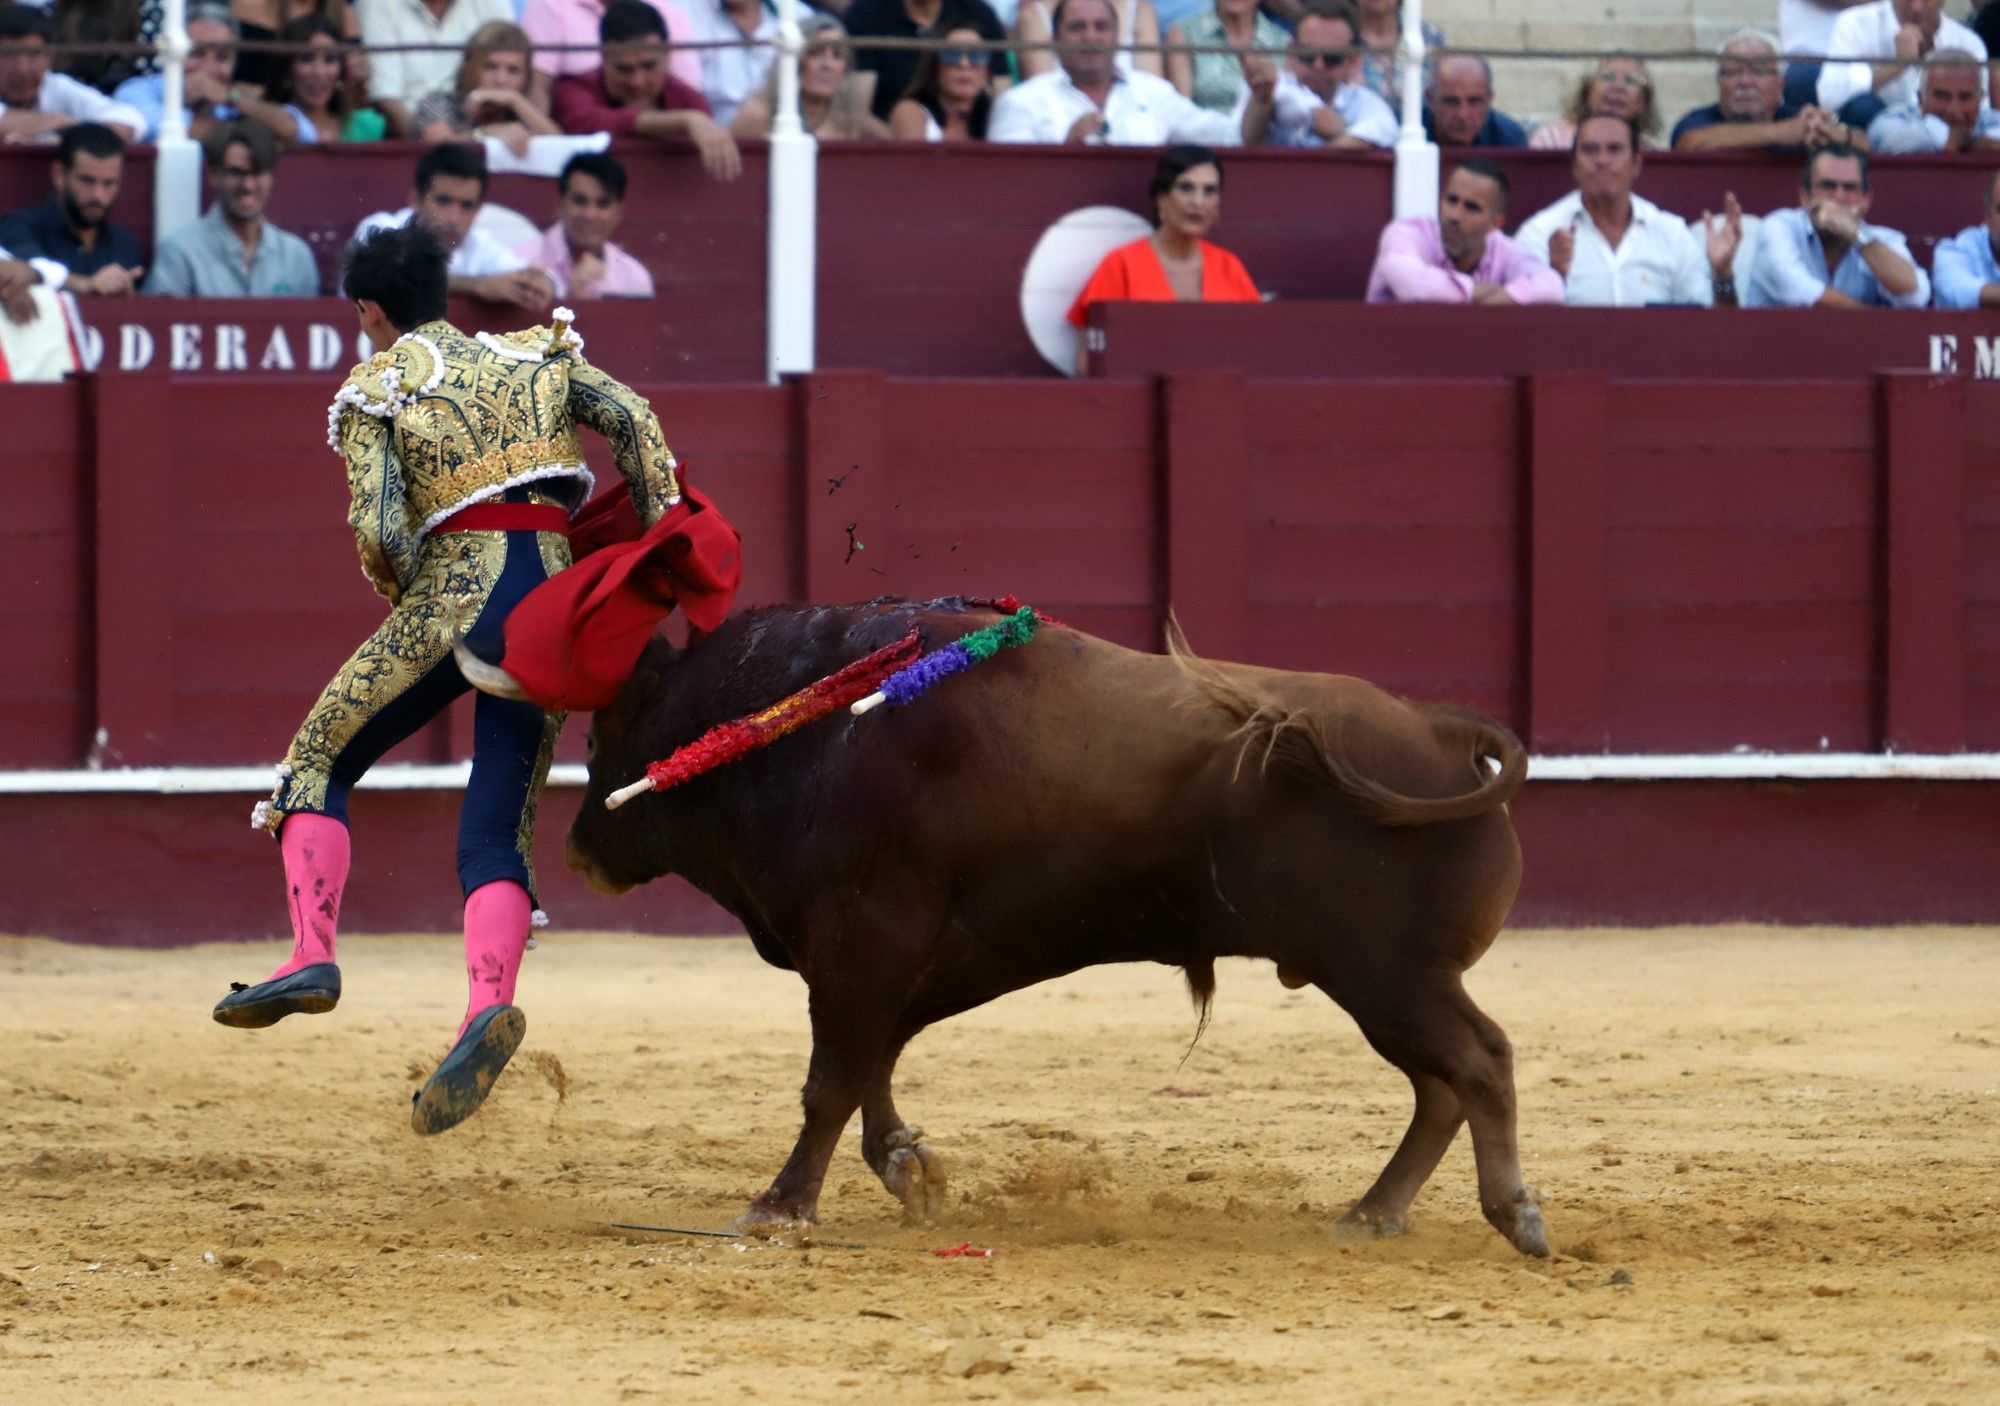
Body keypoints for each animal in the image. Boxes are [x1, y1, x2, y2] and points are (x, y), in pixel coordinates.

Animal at [458, 592, 1544, 1256]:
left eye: (611, 726)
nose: (580, 848)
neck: (808, 723)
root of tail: (1442, 733)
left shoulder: (863, 940)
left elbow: (831, 1078)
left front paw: (779, 1205)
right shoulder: (896, 957)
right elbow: (869, 1067)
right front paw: (908, 1168)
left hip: (1386, 970)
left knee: (1476, 1061)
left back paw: (1511, 1212)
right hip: (1377, 976)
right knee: (1439, 1084)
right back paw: (1372, 1212)